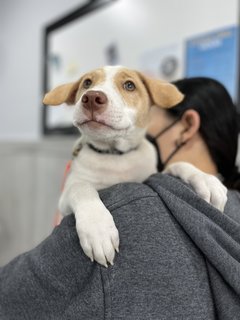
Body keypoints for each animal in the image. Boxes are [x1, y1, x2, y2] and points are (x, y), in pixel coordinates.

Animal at [43, 65, 227, 268]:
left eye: (129, 85)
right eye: (87, 83)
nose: (91, 98)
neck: (115, 154)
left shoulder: (151, 174)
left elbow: (179, 164)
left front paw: (206, 180)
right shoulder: (65, 201)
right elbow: (81, 187)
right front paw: (98, 229)